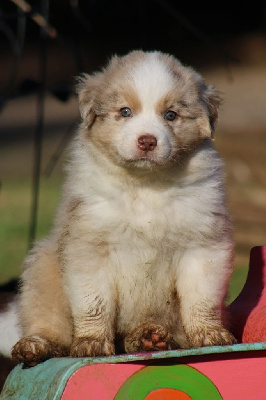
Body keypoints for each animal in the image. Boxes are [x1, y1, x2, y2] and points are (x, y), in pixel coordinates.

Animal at [11, 50, 235, 366]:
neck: (145, 185)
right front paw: (91, 343)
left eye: (170, 115)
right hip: (43, 268)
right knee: (49, 324)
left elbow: (201, 299)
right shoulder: (89, 247)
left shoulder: (203, 243)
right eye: (125, 111)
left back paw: (148, 337)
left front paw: (210, 335)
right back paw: (34, 345)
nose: (147, 141)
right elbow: (94, 304)